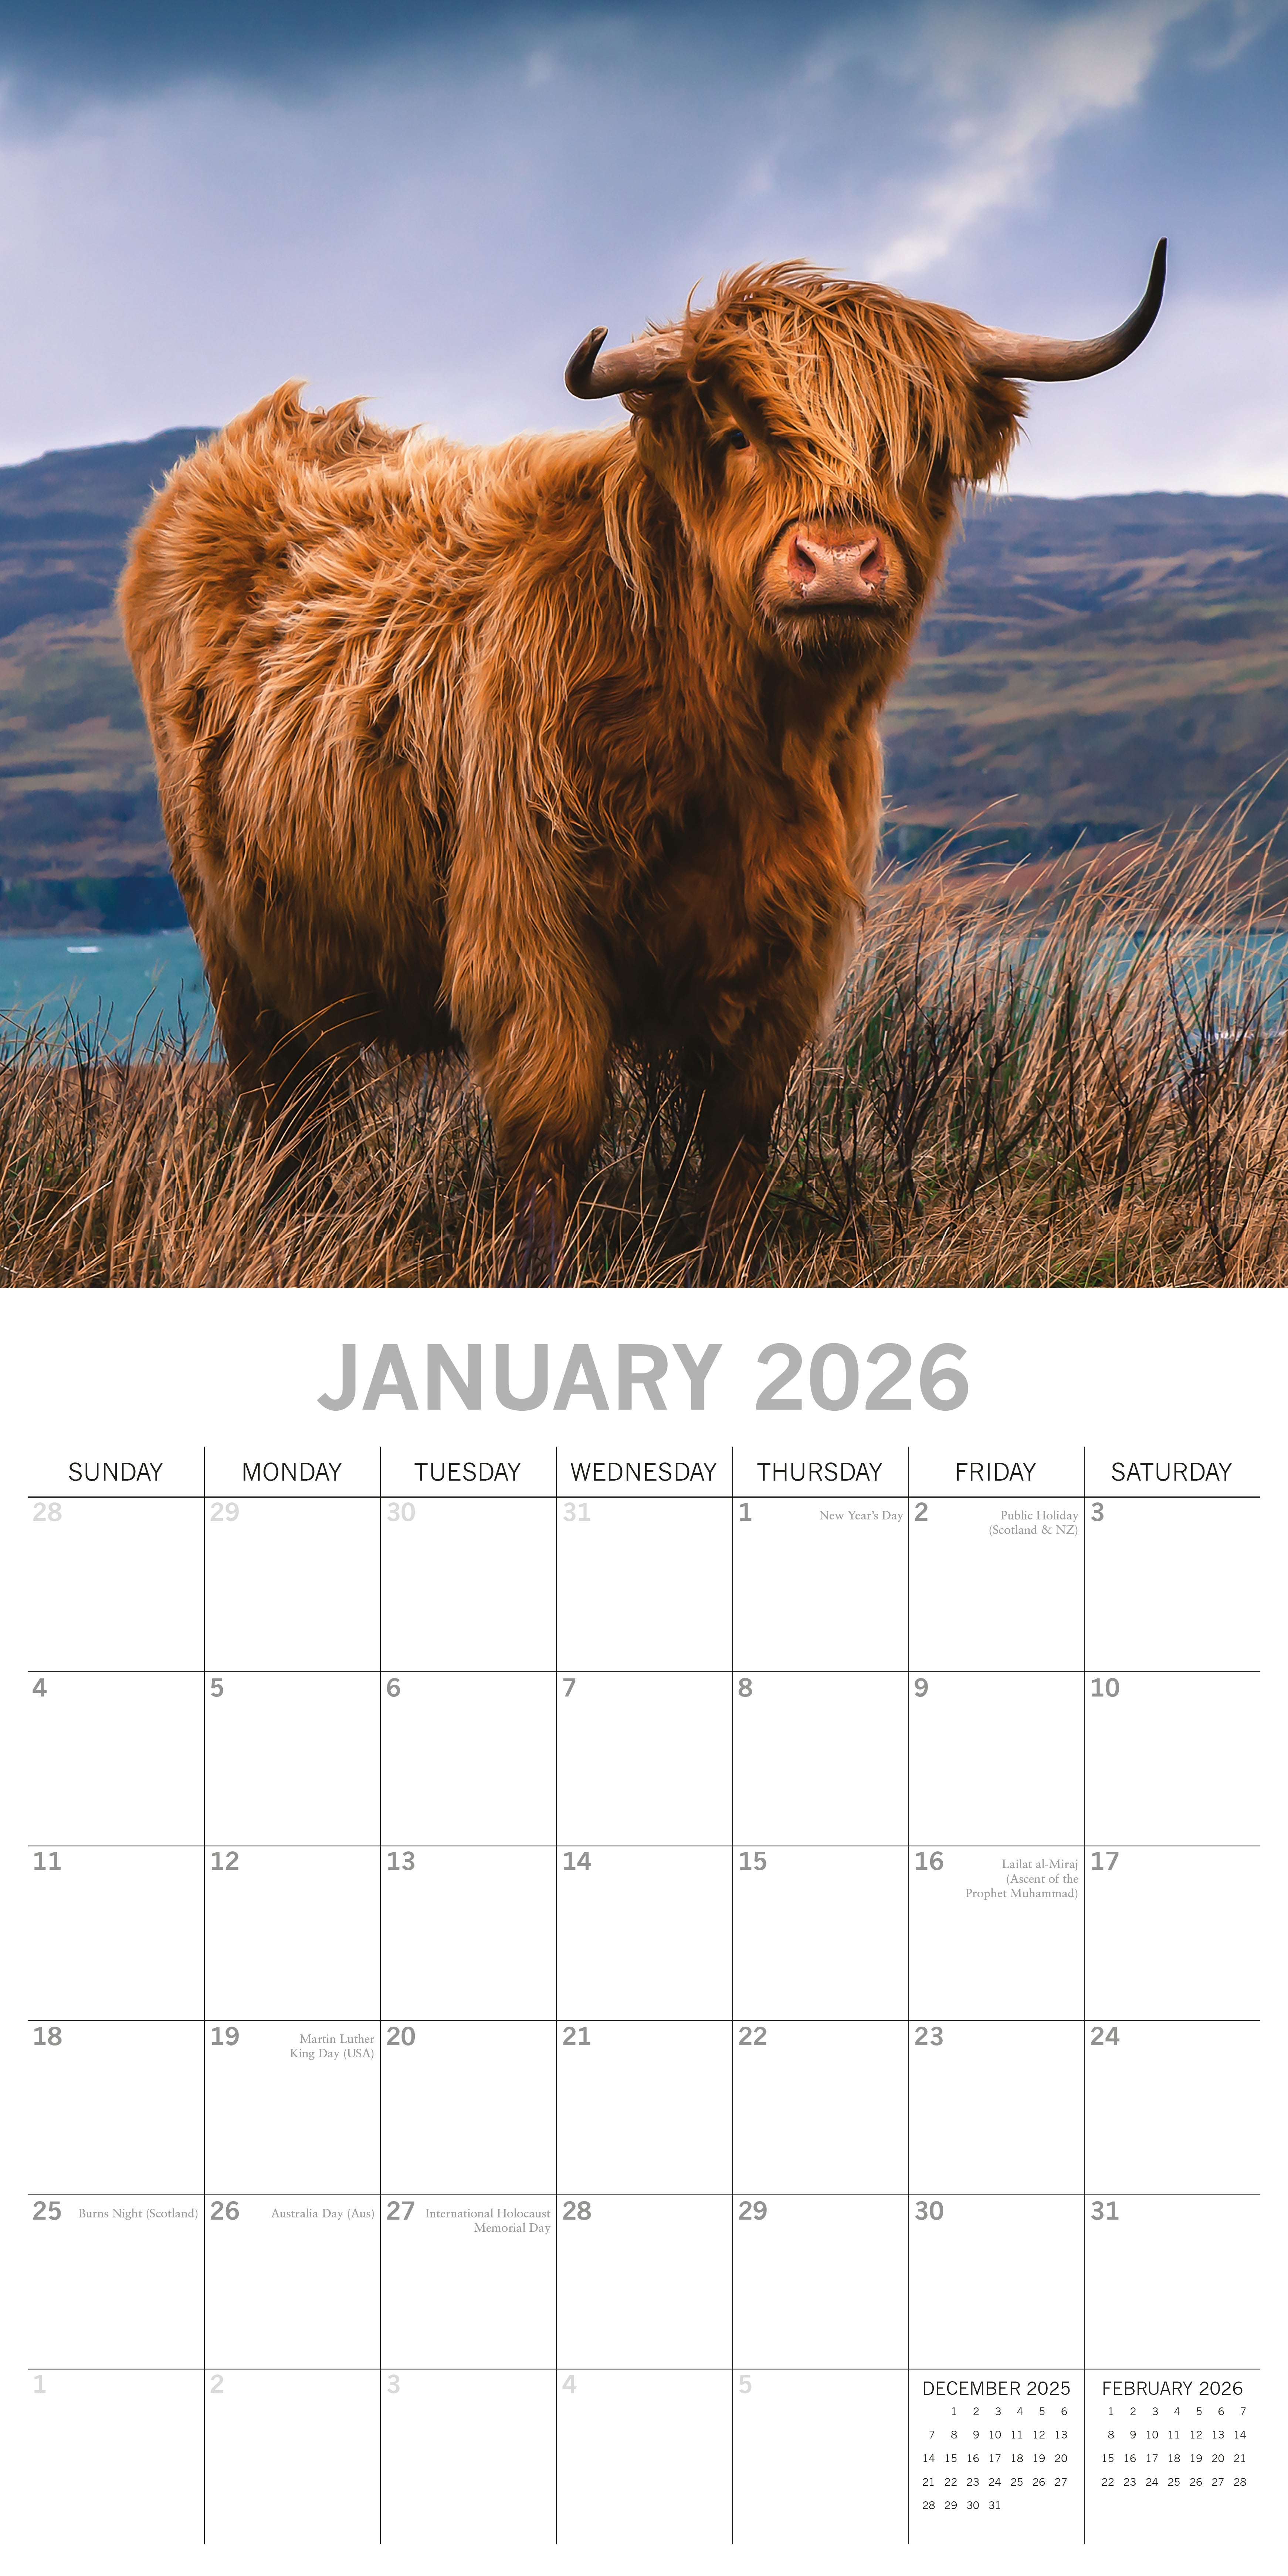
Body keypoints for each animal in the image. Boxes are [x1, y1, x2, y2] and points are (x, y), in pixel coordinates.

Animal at [119, 244, 1165, 1270]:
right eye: (739, 435)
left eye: (918, 451)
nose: (836, 562)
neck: (735, 743)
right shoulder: (529, 928)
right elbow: (550, 1135)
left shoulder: (789, 953)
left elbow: (737, 1139)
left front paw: (724, 1259)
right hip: (231, 941)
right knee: (279, 1106)